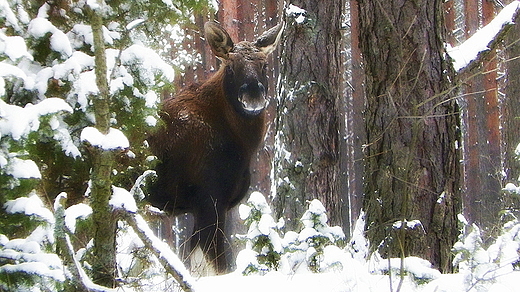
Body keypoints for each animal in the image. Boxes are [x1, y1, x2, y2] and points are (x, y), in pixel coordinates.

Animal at [146, 21, 284, 274]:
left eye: (264, 64)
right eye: (230, 67)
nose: (253, 95)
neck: (244, 144)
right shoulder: (209, 199)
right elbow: (215, 266)